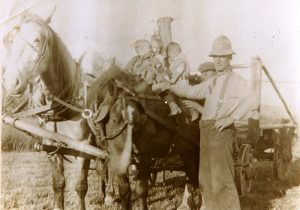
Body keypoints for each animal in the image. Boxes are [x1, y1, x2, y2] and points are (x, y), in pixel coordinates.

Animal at [85, 67, 200, 210]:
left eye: (136, 119)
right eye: (114, 119)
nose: (127, 155)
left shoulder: (144, 156)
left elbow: (141, 190)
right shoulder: (114, 157)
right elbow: (124, 190)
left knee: (193, 173)